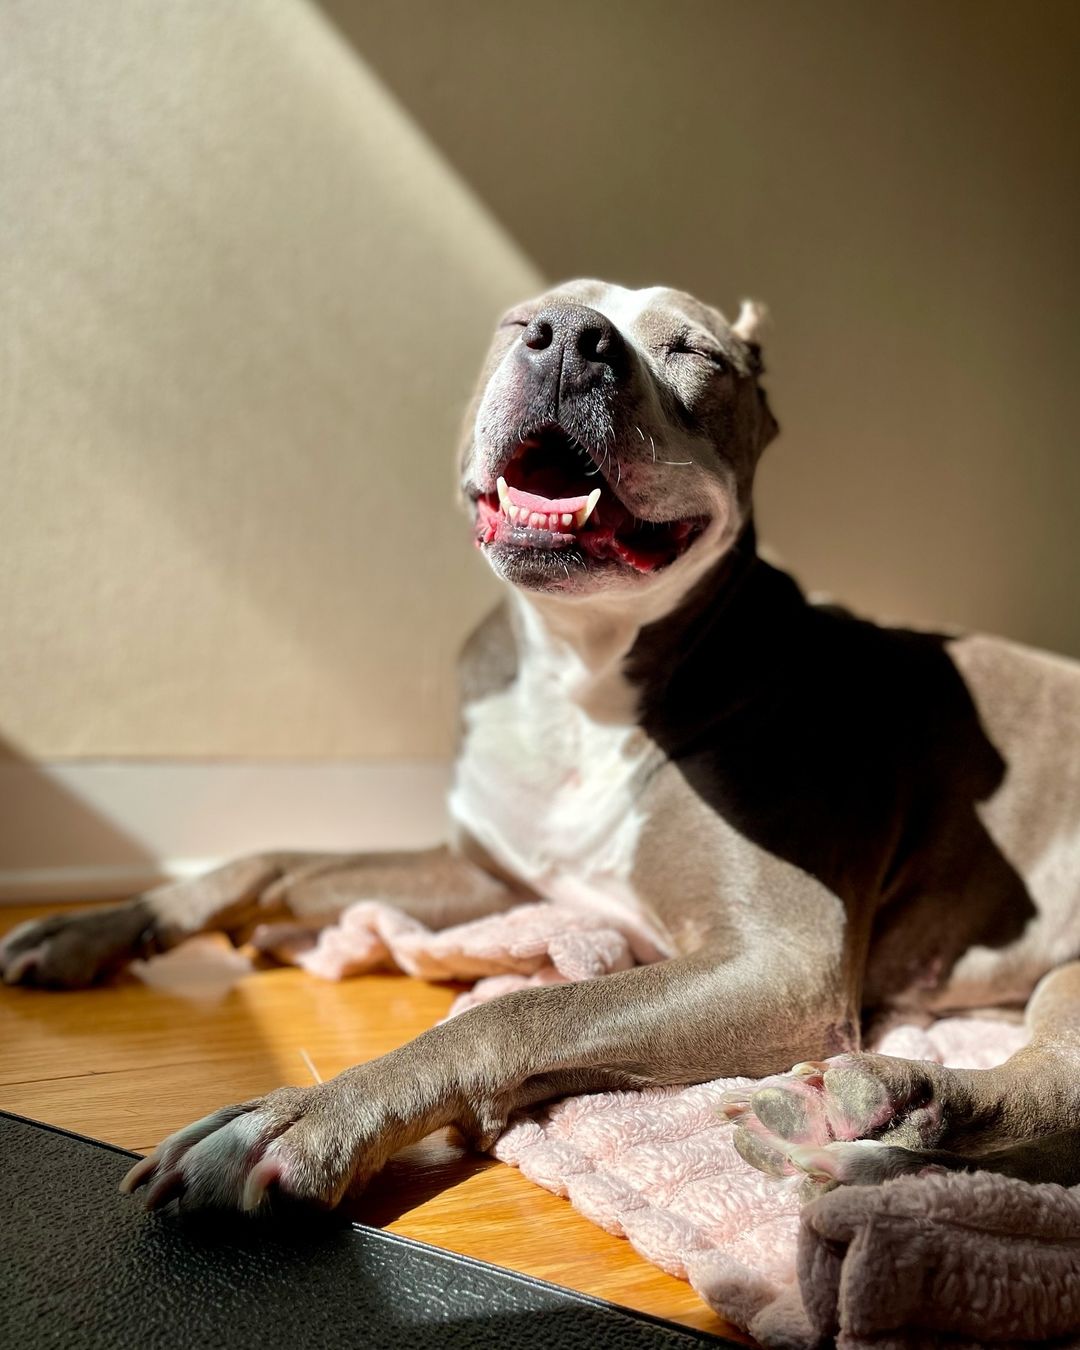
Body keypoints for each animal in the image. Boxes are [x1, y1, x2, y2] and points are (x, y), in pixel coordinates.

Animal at [2, 276, 1080, 1215]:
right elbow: (269, 860)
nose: (570, 339)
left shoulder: (783, 965)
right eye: (522, 318)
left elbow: (510, 1010)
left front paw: (298, 1123)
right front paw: (103, 924)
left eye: (693, 350)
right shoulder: (492, 878)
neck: (581, 673)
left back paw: (877, 1117)